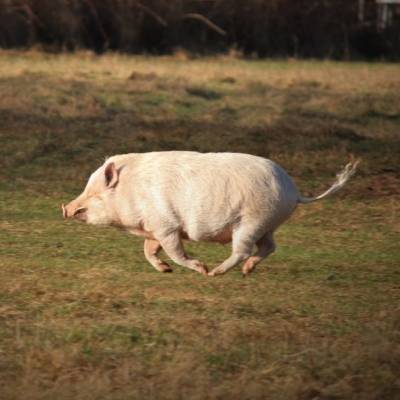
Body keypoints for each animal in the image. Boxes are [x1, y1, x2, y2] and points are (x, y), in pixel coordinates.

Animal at [62, 152, 360, 276]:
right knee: (269, 247)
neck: (132, 191)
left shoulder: (167, 225)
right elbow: (149, 250)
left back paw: (215, 273)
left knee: (243, 250)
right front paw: (165, 270)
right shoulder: (154, 229)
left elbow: (175, 251)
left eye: (95, 194)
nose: (65, 208)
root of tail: (294, 191)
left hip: (251, 221)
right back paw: (247, 272)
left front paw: (199, 268)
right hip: (267, 224)